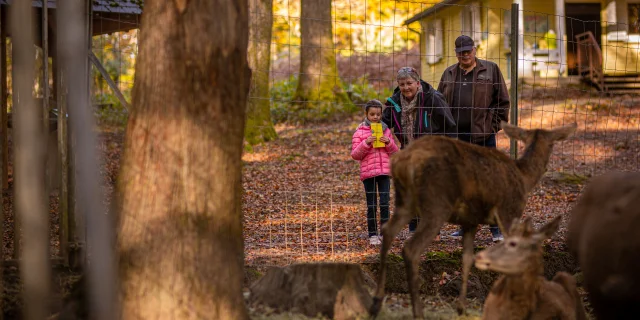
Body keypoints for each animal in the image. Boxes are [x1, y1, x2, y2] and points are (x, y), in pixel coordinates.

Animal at [368, 121, 576, 318]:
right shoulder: (510, 211)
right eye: (552, 143)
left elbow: (467, 258)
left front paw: (462, 308)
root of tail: (404, 161)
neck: (524, 178)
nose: (547, 166)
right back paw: (417, 311)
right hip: (436, 203)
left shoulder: (470, 221)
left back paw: (376, 303)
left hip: (405, 201)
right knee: (411, 248)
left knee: (388, 230)